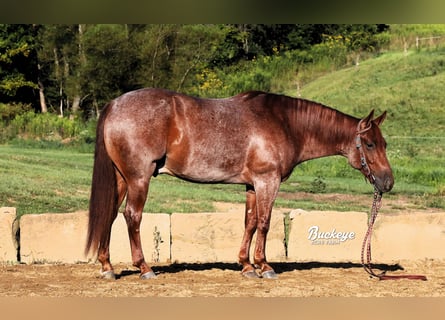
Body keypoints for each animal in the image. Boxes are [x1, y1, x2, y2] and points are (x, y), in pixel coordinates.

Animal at [85, 88, 394, 280]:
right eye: (369, 144)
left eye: (385, 143)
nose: (388, 182)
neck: (284, 123)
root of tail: (113, 105)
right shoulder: (267, 180)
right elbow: (265, 222)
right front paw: (265, 266)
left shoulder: (252, 185)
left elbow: (250, 222)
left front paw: (246, 266)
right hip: (138, 178)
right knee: (132, 216)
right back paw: (144, 268)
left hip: (121, 178)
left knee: (110, 216)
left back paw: (107, 266)